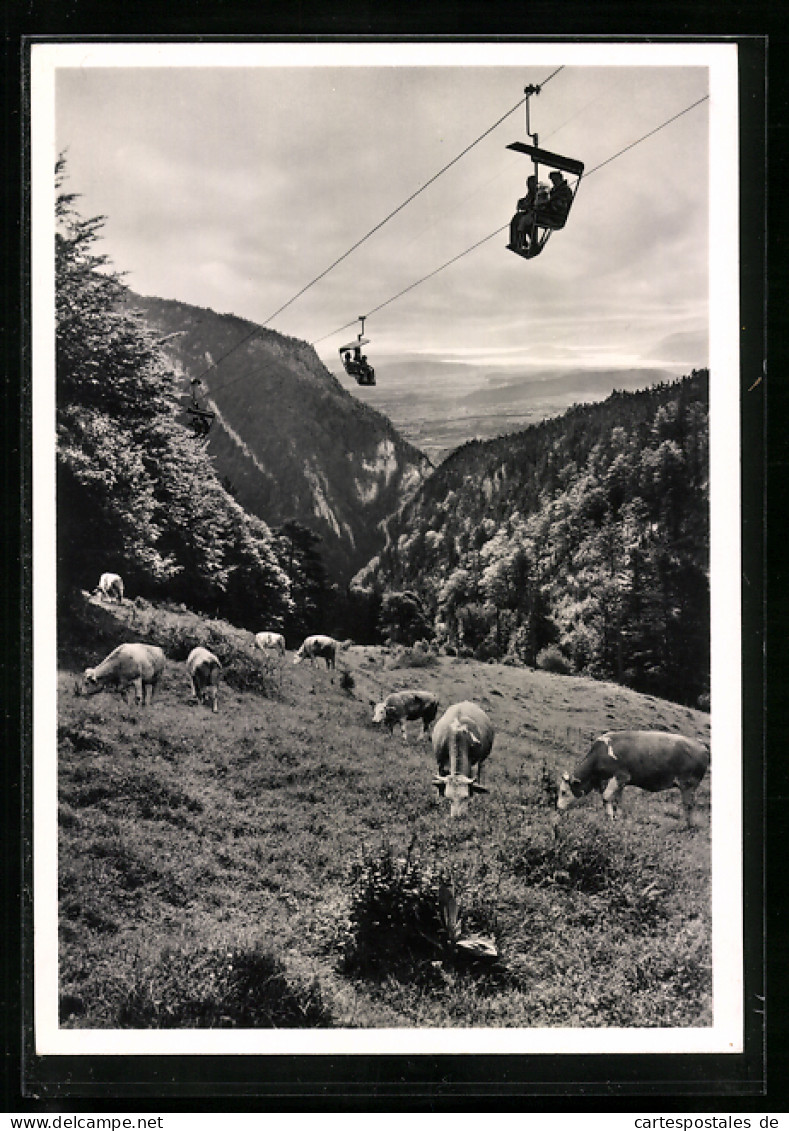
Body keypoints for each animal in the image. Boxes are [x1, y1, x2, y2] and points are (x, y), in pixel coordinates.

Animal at [556, 728, 709, 827]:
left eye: (563, 792)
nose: (558, 808)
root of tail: (700, 743)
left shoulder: (619, 776)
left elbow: (606, 797)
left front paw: (609, 818)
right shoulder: (621, 782)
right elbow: (618, 800)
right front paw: (618, 817)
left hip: (688, 785)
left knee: (689, 805)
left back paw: (686, 827)